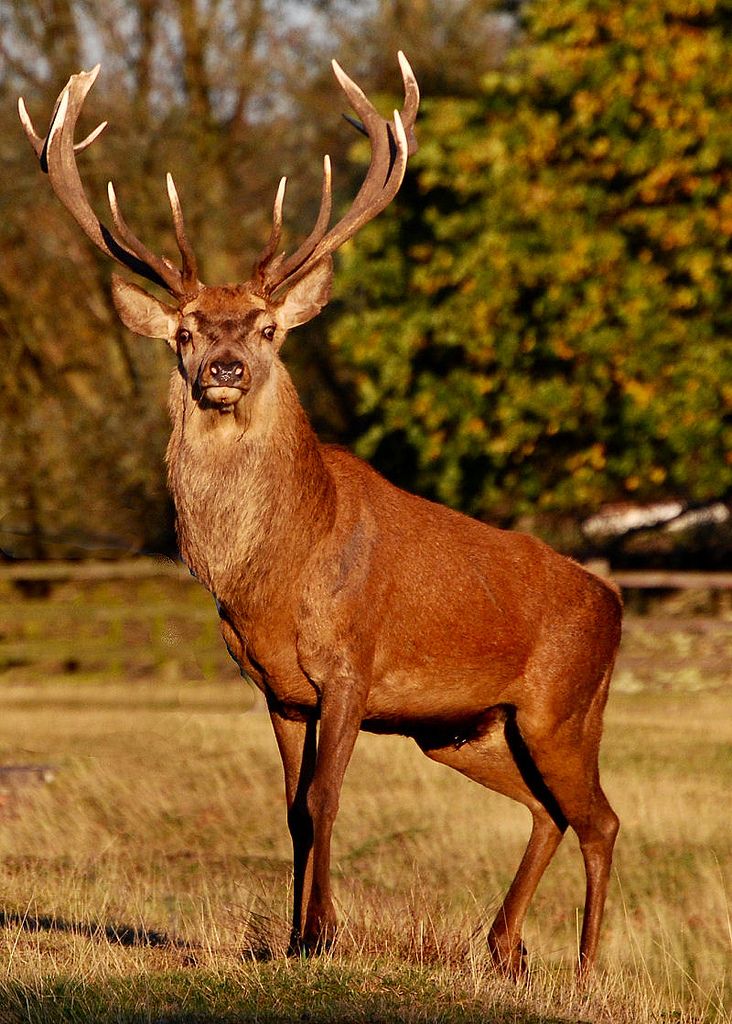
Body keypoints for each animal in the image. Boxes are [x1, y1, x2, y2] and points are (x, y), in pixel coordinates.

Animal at [20, 58, 622, 974]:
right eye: (185, 332)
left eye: (268, 327)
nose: (226, 367)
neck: (276, 576)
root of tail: (616, 603)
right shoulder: (277, 690)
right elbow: (294, 808)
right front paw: (291, 938)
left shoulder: (351, 668)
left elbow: (328, 797)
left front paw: (322, 936)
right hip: (471, 730)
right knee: (550, 811)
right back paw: (503, 950)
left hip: (564, 707)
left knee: (600, 818)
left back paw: (585, 972)